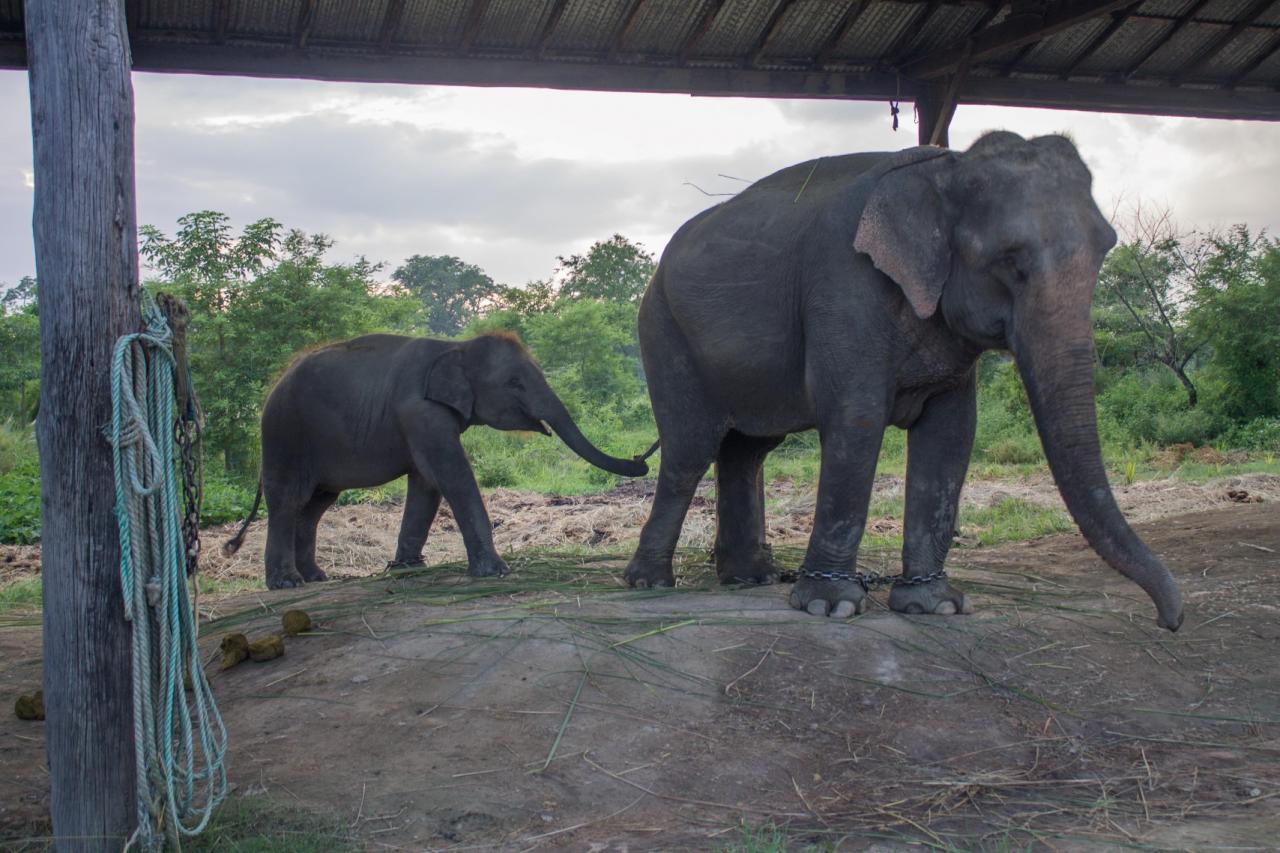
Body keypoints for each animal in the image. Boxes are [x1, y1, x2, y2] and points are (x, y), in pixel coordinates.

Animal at [222, 330, 650, 584]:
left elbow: (426, 484)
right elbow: (451, 474)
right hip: (285, 436)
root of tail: (272, 389)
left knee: (314, 505)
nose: (642, 458)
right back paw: (287, 583)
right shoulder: (421, 413)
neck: (455, 346)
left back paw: (317, 577)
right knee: (287, 500)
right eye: (514, 382)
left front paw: (407, 568)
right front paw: (495, 572)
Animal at [624, 129, 1182, 627]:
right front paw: (831, 606)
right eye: (1009, 260)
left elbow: (953, 433)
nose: (1168, 621)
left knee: (748, 450)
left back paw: (750, 578)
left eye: (1106, 247)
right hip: (663, 331)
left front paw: (935, 605)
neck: (946, 165)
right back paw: (649, 583)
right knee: (689, 451)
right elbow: (857, 419)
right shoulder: (845, 283)